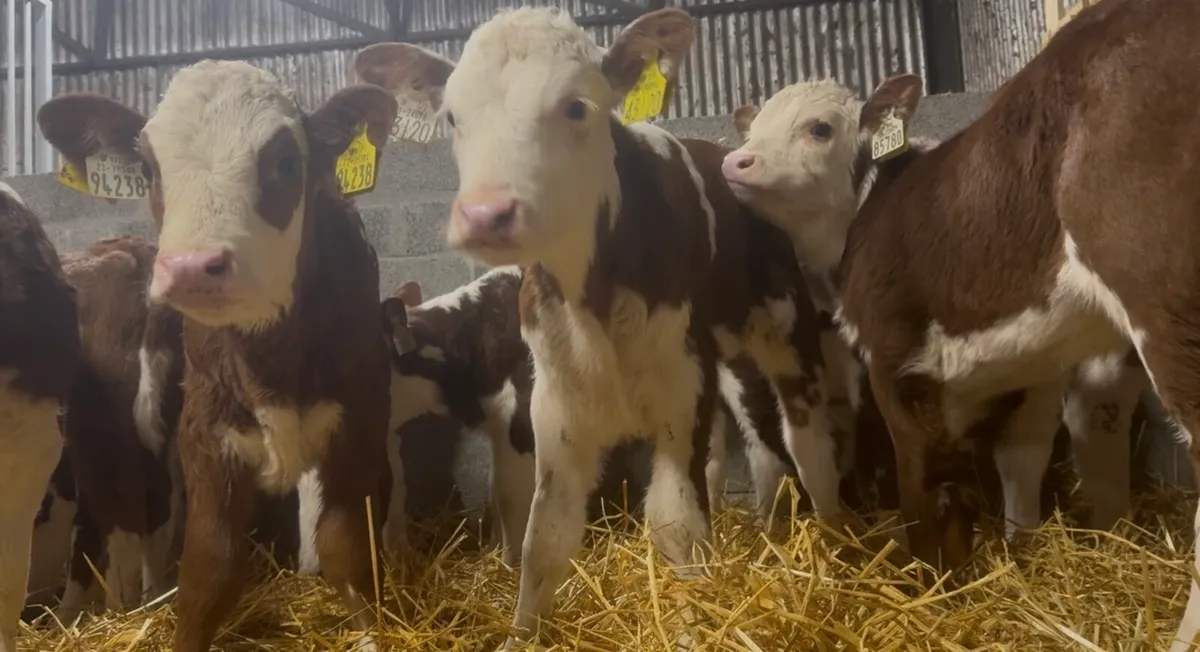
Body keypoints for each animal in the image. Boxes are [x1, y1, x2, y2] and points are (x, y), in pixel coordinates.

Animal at [37, 61, 399, 651]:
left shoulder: (359, 421)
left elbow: (347, 545)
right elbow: (210, 565)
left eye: (285, 161)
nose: (190, 267)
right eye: (148, 166)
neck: (270, 359)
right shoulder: (205, 432)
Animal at [357, 7, 860, 644]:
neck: (591, 294)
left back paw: (836, 548)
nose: (485, 214)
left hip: (785, 330)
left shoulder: (677, 390)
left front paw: (692, 625)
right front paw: (521, 634)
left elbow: (675, 525)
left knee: (805, 442)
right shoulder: (555, 401)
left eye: (577, 106)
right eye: (452, 116)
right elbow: (542, 536)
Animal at [717, 0, 1200, 646]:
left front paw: (930, 585)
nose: (735, 159)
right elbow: (1017, 463)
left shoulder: (897, 358)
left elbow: (922, 480)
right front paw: (1015, 557)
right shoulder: (1027, 360)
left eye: (819, 128)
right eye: (752, 130)